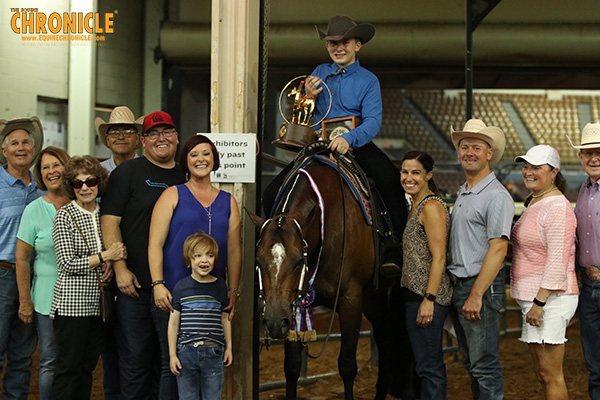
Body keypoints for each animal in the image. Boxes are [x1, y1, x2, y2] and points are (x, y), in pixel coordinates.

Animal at [248, 155, 418, 400]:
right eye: (259, 261)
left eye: (298, 261)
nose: (273, 322)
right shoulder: (295, 303)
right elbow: (292, 366)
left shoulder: (350, 299)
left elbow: (347, 366)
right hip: (373, 300)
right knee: (384, 336)